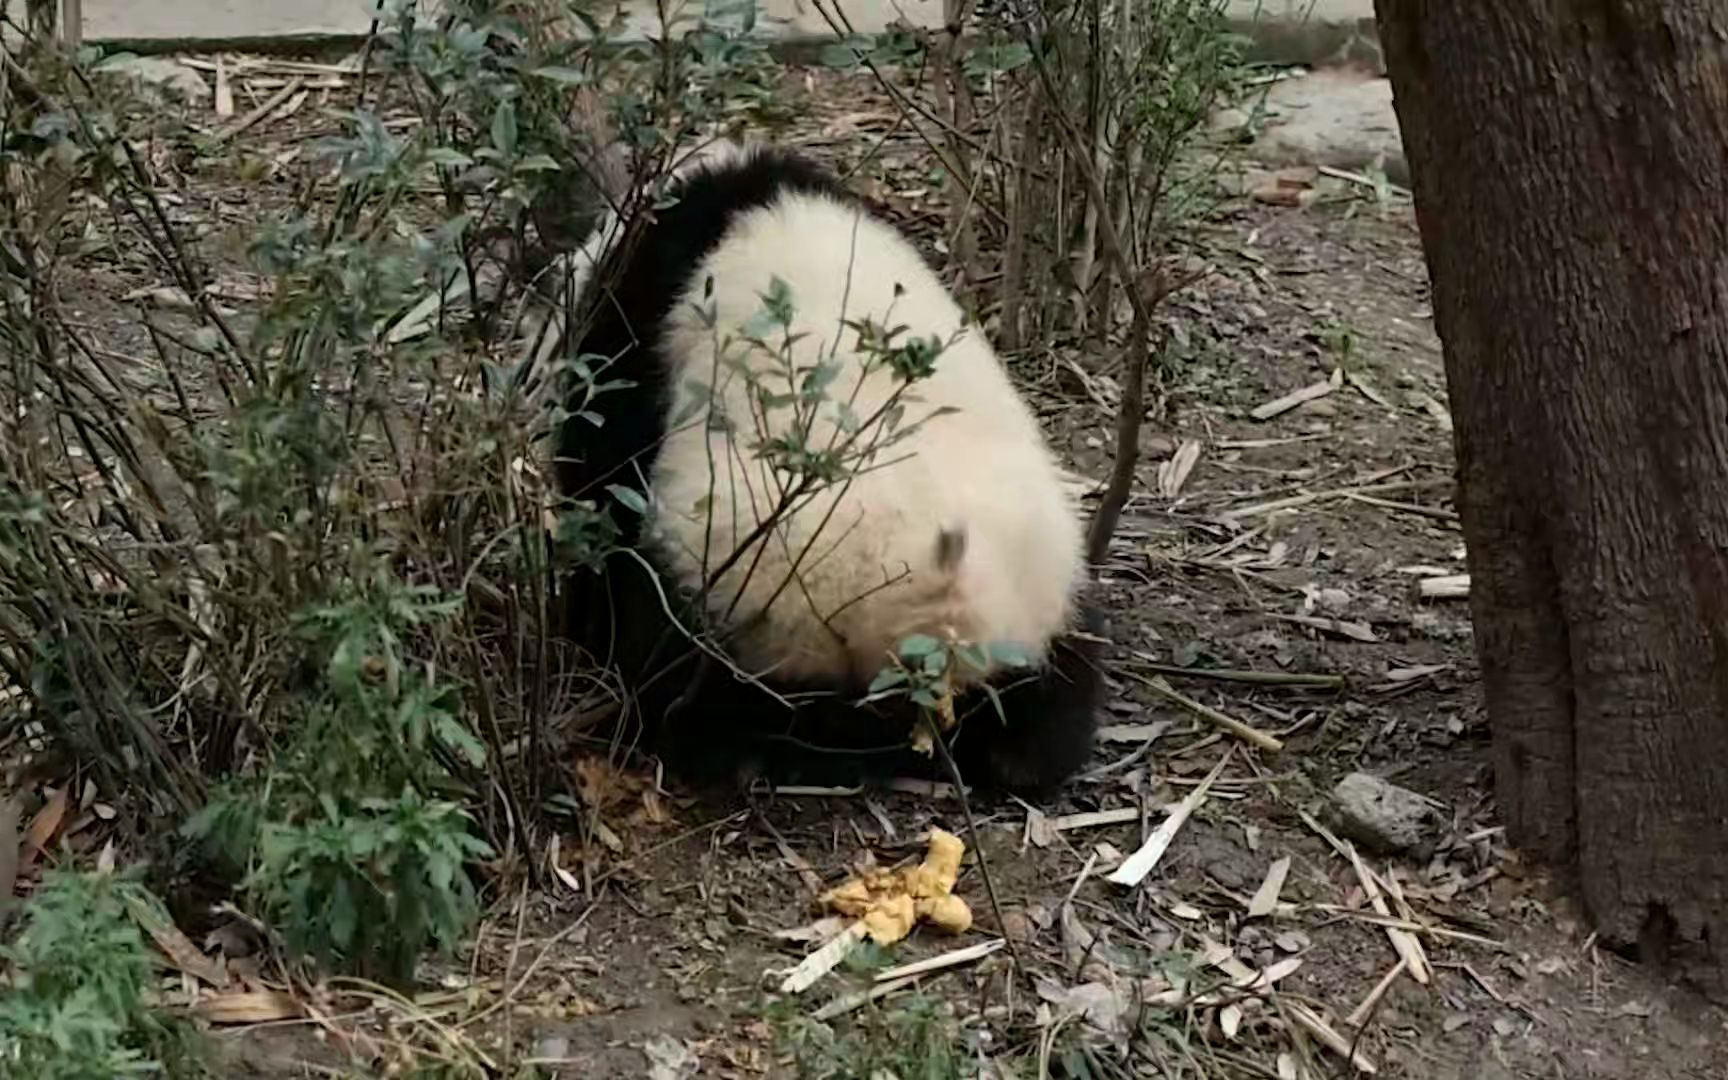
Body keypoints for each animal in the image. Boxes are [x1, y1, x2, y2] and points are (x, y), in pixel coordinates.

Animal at [552, 139, 1105, 794]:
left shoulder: (636, 327)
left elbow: (601, 469)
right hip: (1040, 571)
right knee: (1055, 676)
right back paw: (1021, 752)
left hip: (745, 583)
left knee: (681, 657)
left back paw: (721, 746)